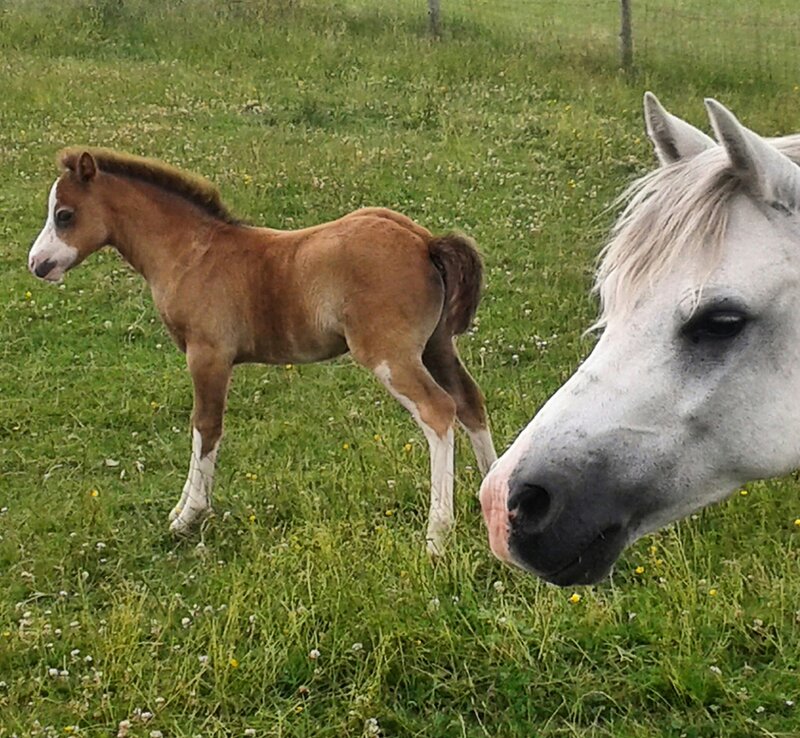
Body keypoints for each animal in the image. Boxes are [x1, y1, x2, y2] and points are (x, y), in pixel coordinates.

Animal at [28, 148, 497, 554]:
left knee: (438, 410)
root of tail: (424, 242)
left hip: (389, 355)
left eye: (64, 215)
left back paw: (436, 536)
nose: (37, 264)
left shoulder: (208, 354)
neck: (192, 253)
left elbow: (205, 426)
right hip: (437, 346)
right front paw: (183, 510)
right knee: (469, 402)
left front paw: (189, 516)